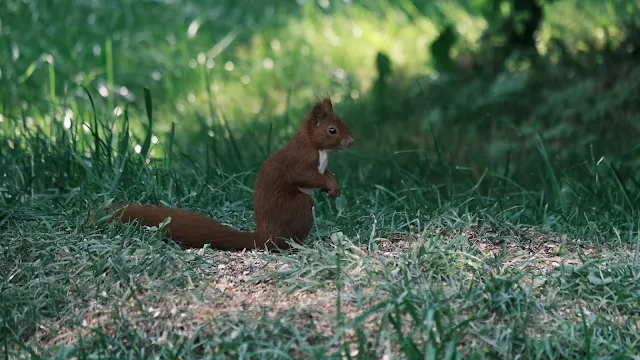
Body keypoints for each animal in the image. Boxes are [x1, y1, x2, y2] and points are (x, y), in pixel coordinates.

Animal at [105, 97, 356, 252]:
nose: (351, 141)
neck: (317, 148)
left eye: (343, 122)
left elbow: (327, 174)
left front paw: (334, 186)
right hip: (299, 207)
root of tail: (265, 235)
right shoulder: (300, 162)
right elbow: (305, 176)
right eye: (332, 130)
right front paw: (330, 186)